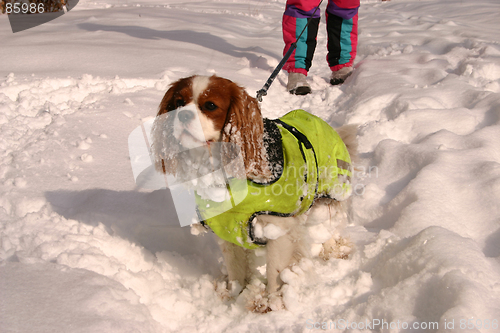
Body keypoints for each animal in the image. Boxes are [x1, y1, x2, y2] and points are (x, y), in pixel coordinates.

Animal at [150, 75, 358, 312]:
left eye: (210, 105)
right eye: (178, 102)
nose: (182, 114)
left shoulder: (277, 228)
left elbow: (274, 272)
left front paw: (271, 304)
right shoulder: (226, 229)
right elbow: (236, 269)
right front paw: (234, 294)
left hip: (328, 197)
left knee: (328, 229)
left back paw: (334, 251)